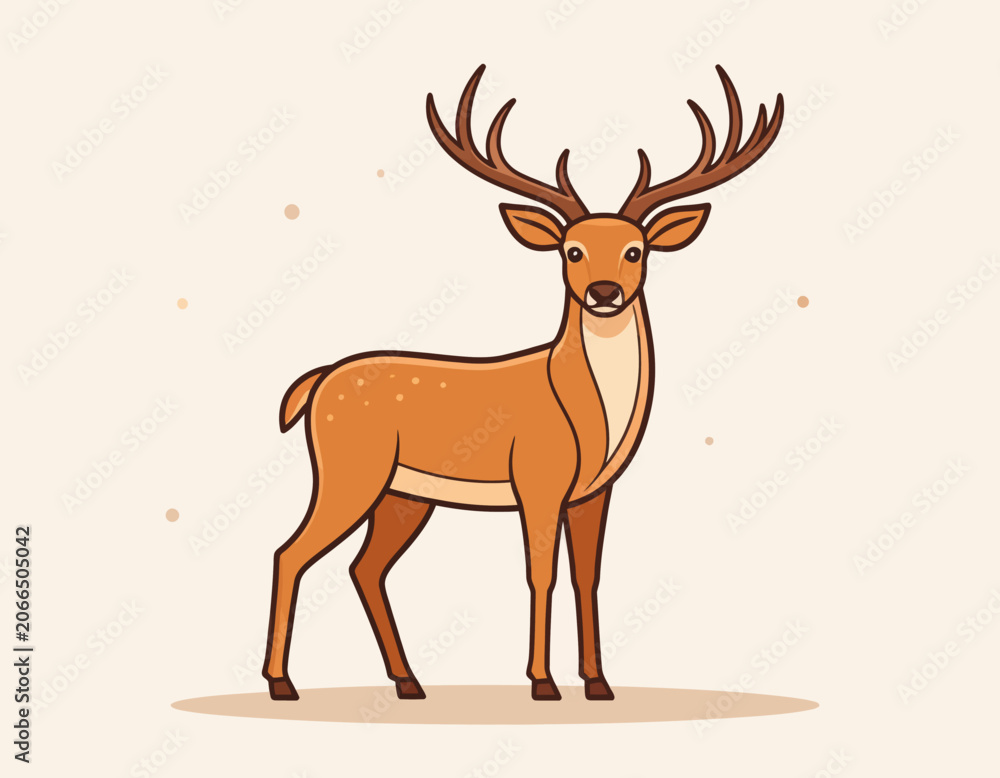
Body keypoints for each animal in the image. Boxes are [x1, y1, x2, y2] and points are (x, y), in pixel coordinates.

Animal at [263, 64, 783, 703]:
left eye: (635, 250)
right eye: (572, 250)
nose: (605, 292)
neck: (590, 416)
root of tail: (314, 384)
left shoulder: (593, 491)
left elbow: (588, 576)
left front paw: (598, 683)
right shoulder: (537, 477)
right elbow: (542, 573)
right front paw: (543, 682)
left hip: (404, 493)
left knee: (364, 567)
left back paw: (409, 682)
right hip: (349, 469)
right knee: (290, 552)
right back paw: (282, 683)